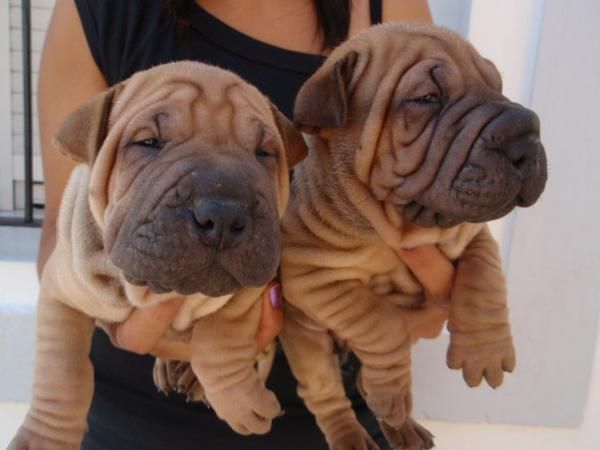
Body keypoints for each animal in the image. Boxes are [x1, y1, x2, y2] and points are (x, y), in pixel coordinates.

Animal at [8, 60, 308, 450]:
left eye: (264, 153)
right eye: (148, 143)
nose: (223, 214)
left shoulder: (254, 288)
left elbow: (219, 341)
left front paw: (240, 403)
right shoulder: (63, 290)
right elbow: (61, 370)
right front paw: (43, 438)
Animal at [278, 22, 548, 450]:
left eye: (498, 84)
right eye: (428, 99)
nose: (526, 135)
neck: (398, 225)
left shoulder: (475, 236)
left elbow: (485, 280)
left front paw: (485, 352)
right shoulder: (310, 276)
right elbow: (380, 321)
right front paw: (389, 387)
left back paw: (401, 425)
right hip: (308, 343)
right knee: (326, 396)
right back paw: (356, 432)